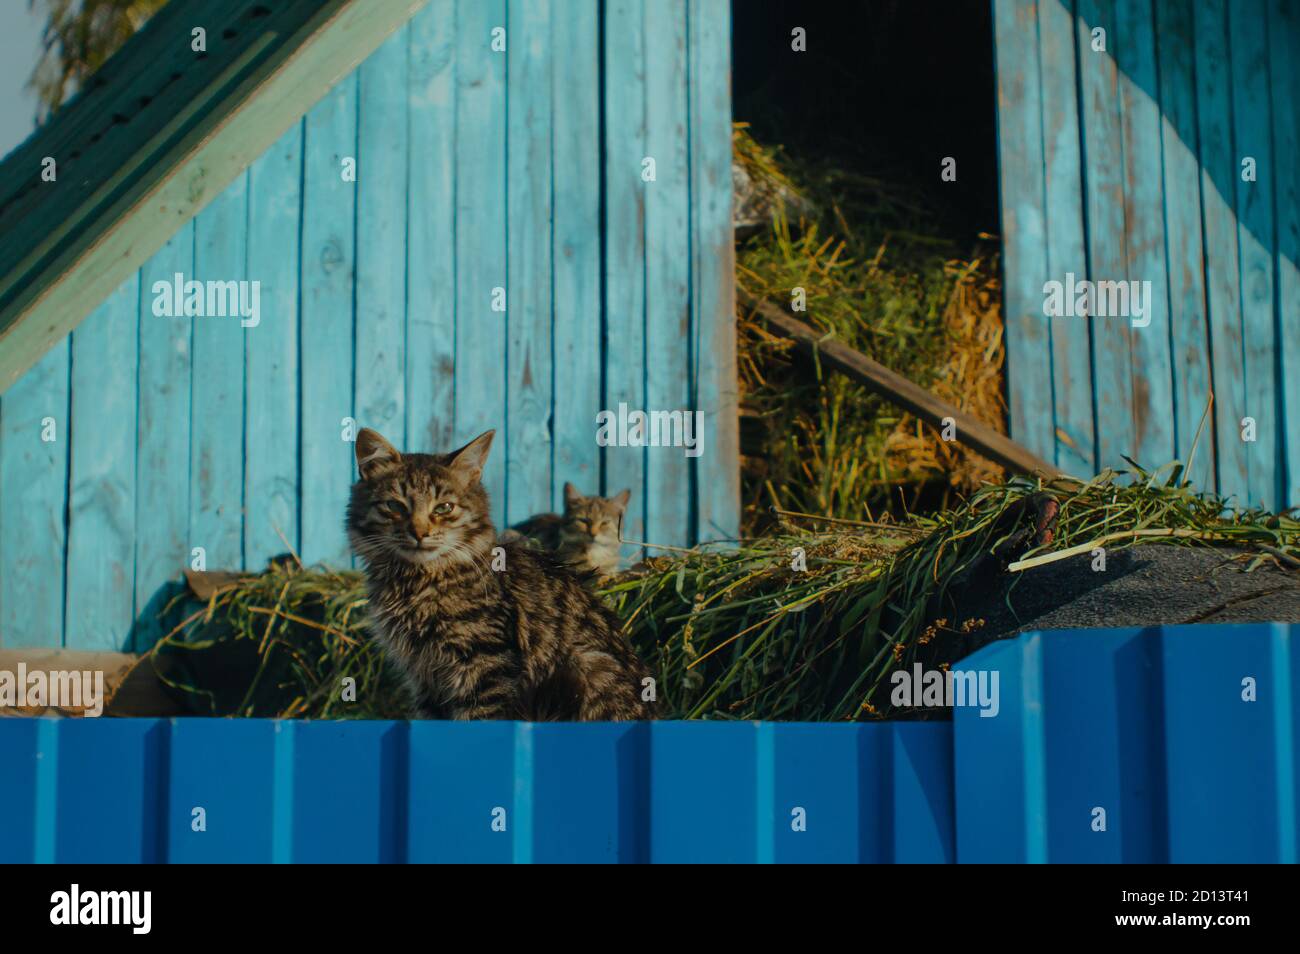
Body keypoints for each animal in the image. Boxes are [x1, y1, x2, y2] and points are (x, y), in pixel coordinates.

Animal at [345, 428, 650, 722]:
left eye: (444, 508)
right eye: (395, 506)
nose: (419, 533)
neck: (417, 581)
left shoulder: (484, 666)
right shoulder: (424, 677)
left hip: (589, 667)